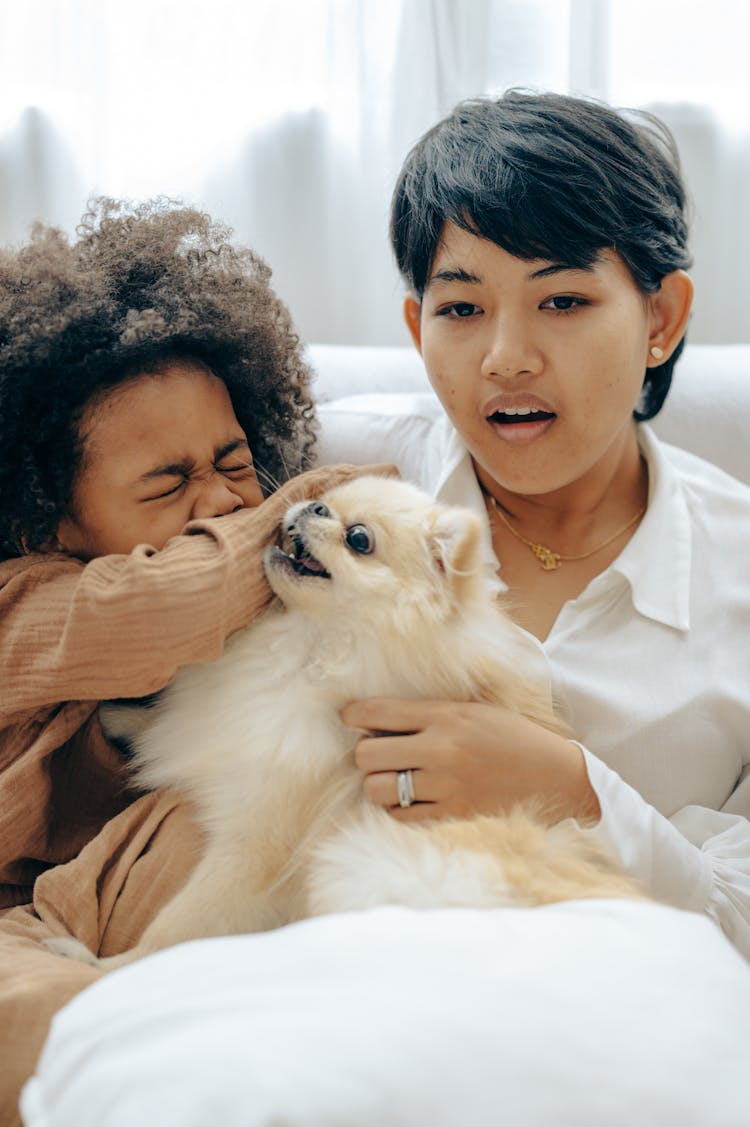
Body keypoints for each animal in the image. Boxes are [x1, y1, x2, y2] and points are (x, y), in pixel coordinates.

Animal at [51, 475, 636, 969]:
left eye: (358, 539)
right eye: (325, 503)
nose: (311, 506)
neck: (307, 648)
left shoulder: (257, 847)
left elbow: (175, 928)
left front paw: (98, 966)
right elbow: (168, 726)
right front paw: (119, 716)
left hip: (361, 862)